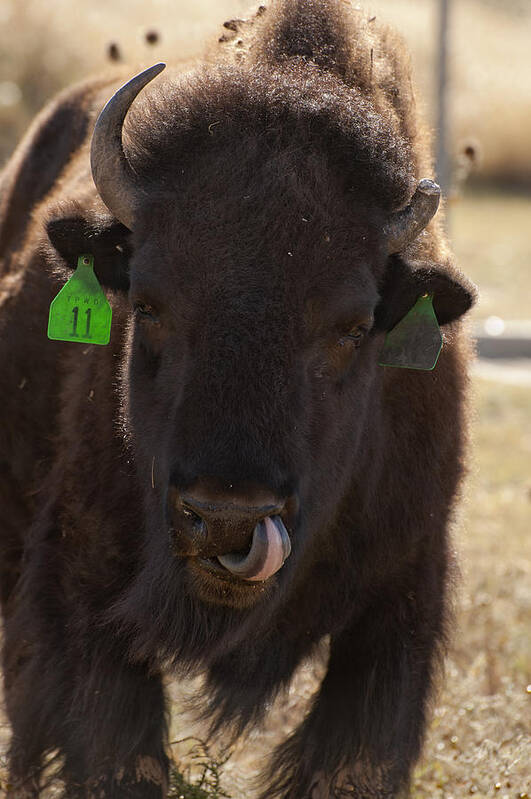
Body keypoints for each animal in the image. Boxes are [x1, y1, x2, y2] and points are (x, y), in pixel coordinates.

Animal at [0, 1, 474, 799]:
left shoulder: (397, 605)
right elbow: (120, 752)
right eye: (148, 304)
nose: (227, 518)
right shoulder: (84, 592)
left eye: (354, 326)